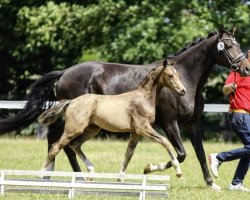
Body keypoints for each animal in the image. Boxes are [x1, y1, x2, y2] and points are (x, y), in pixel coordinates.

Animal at [0, 26, 249, 191]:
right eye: (227, 46)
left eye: (238, 44)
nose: (245, 68)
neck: (187, 77)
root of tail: (64, 73)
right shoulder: (170, 123)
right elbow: (181, 153)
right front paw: (150, 168)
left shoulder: (193, 123)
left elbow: (198, 152)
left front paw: (211, 183)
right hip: (77, 119)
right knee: (61, 142)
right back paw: (67, 177)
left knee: (60, 140)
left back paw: (58, 176)